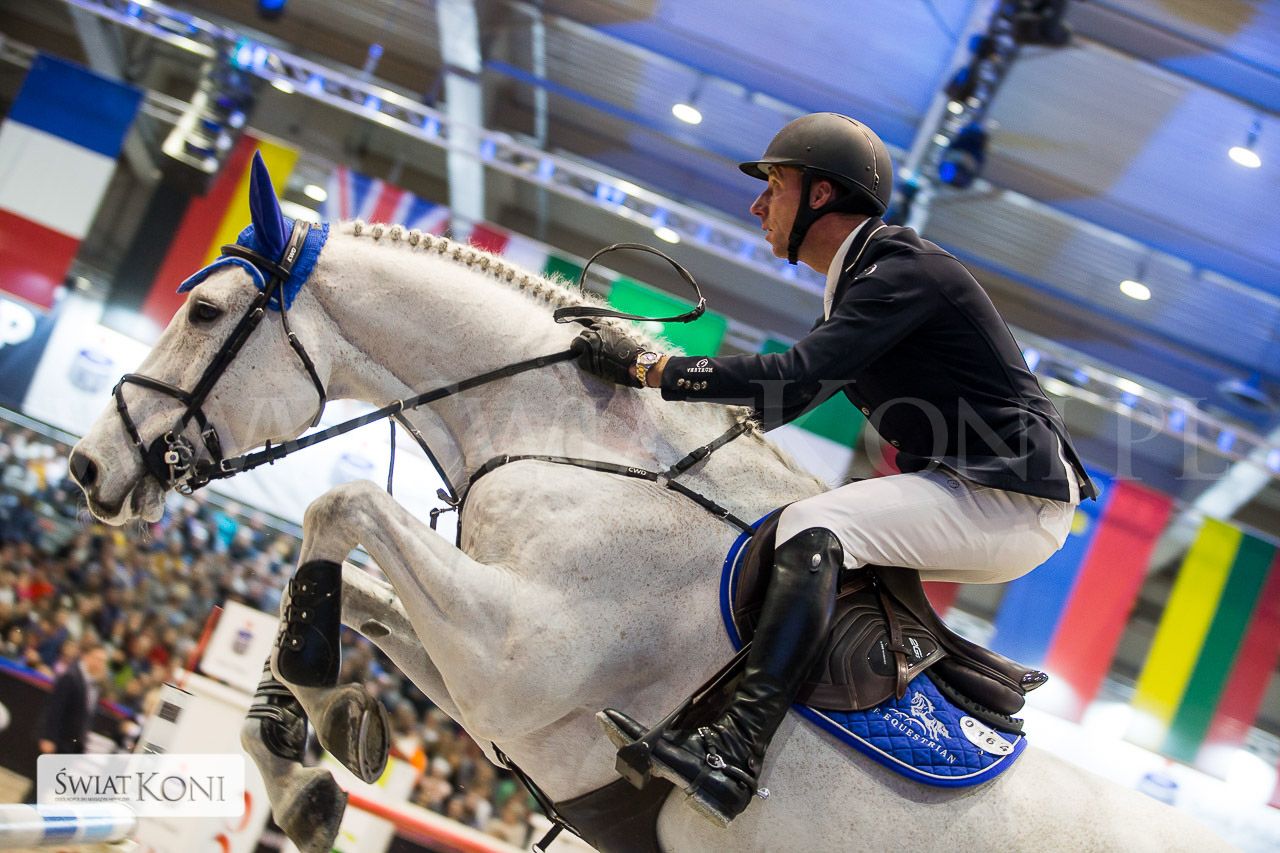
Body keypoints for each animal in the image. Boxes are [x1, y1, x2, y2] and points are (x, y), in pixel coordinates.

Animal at [68, 159, 1228, 852]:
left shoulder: (515, 656)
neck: (574, 446)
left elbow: (340, 506)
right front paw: (308, 748)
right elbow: (347, 586)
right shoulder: (499, 694)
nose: (87, 469)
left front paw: (312, 692)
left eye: (208, 311)